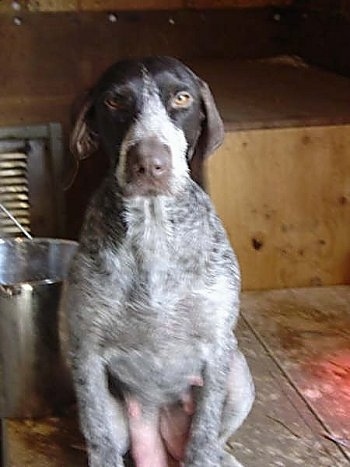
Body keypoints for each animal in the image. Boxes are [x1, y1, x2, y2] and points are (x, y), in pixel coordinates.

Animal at [61, 56, 253, 466]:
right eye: (115, 100)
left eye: (181, 98)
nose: (149, 163)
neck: (153, 232)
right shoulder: (86, 353)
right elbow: (100, 440)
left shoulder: (218, 349)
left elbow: (202, 438)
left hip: (239, 374)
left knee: (211, 441)